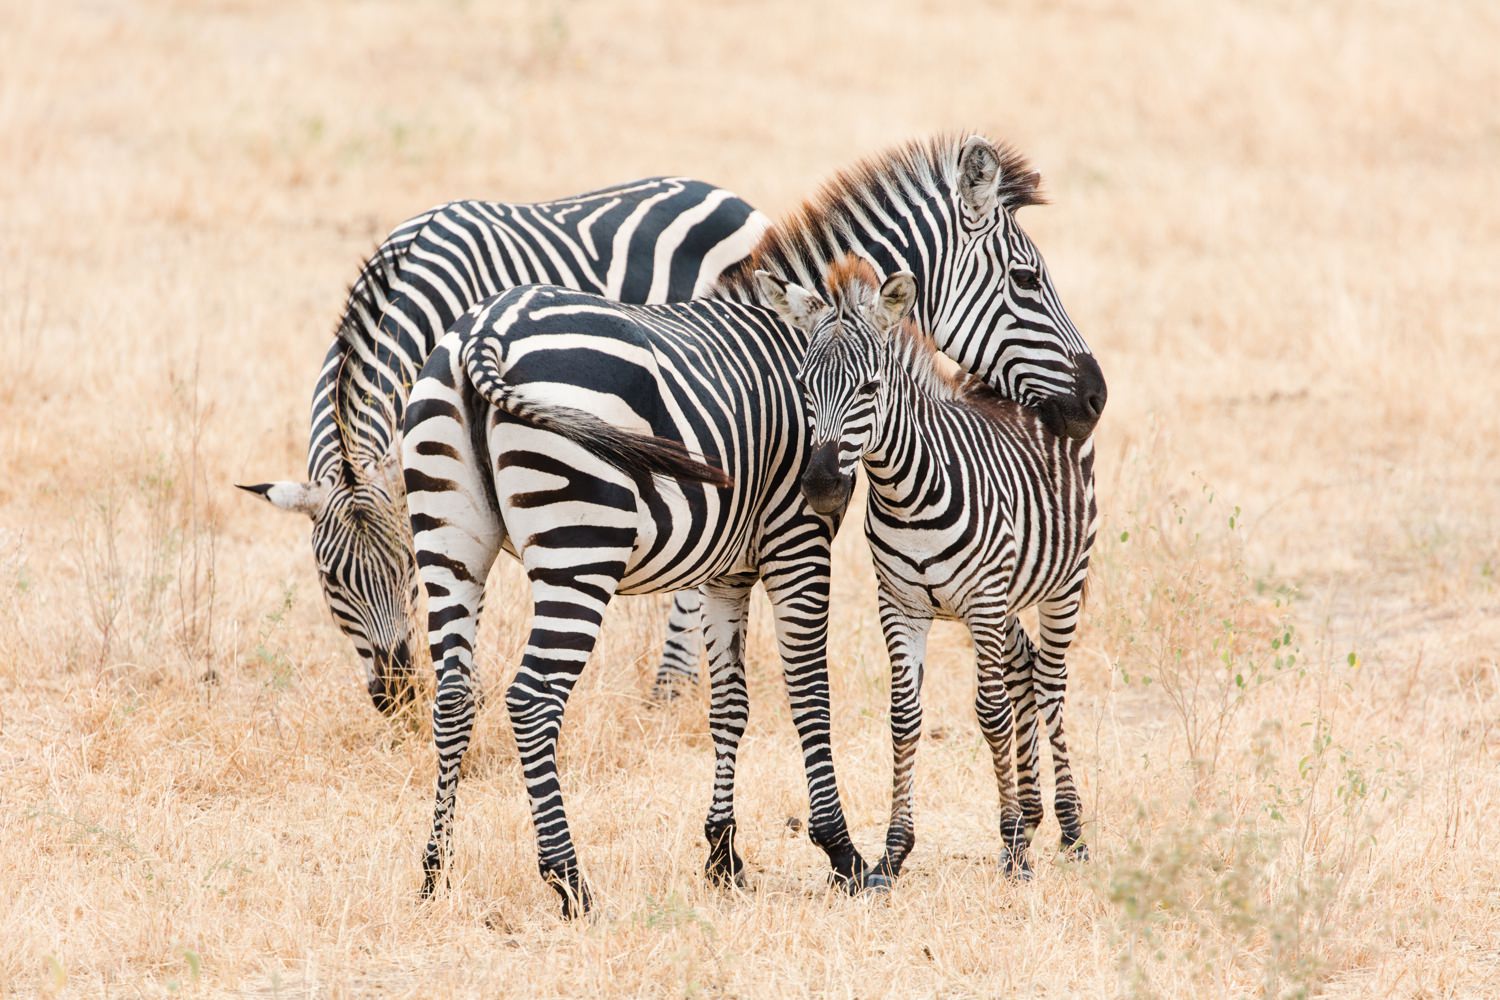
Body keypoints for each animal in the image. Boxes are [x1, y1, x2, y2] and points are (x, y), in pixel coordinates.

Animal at [241, 177, 774, 710]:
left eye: (408, 568)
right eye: (330, 577)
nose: (396, 694)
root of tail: (720, 193)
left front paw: (473, 693)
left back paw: (670, 685)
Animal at [768, 254, 1098, 881]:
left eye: (869, 388)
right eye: (803, 387)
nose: (820, 486)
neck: (908, 493)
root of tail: (996, 384)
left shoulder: (983, 600)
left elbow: (990, 714)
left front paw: (1012, 848)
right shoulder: (900, 606)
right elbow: (904, 718)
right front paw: (893, 853)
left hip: (1059, 586)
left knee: (1049, 685)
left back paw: (1070, 830)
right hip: (1004, 601)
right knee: (1024, 670)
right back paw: (1034, 815)